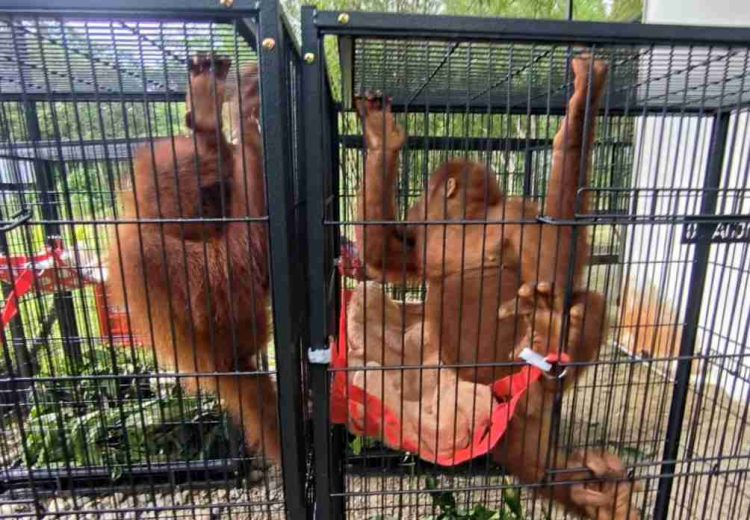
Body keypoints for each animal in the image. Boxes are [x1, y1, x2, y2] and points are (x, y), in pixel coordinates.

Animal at [107, 54, 280, 463]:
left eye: (222, 192)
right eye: (210, 195)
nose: (223, 205)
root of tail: (225, 371)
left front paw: (214, 124)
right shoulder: (148, 253)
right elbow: (235, 269)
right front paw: (237, 117)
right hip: (228, 354)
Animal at [354, 55, 640, 519]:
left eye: (426, 194)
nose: (413, 207)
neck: (466, 226)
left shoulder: (517, 215)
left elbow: (552, 270)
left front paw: (580, 108)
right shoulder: (426, 239)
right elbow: (387, 258)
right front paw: (382, 136)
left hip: (518, 384)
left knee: (586, 304)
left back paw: (550, 339)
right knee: (542, 468)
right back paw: (601, 497)